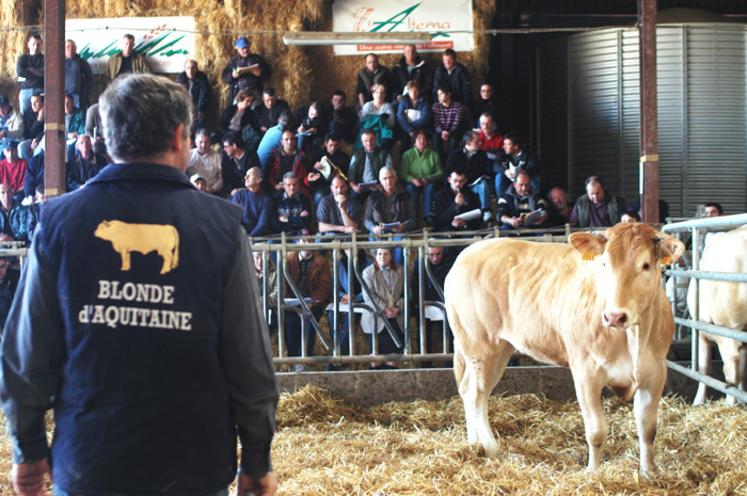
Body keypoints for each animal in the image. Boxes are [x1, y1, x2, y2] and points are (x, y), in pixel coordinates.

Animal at [448, 223, 688, 474]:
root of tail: (470, 251)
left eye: (646, 265)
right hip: (481, 345)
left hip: (498, 348)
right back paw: (490, 446)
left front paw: (649, 472)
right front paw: (593, 472)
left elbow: (648, 429)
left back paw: (473, 443)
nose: (614, 316)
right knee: (475, 392)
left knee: (471, 389)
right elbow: (596, 430)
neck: (632, 338)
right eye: (604, 264)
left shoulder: (656, 371)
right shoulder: (585, 372)